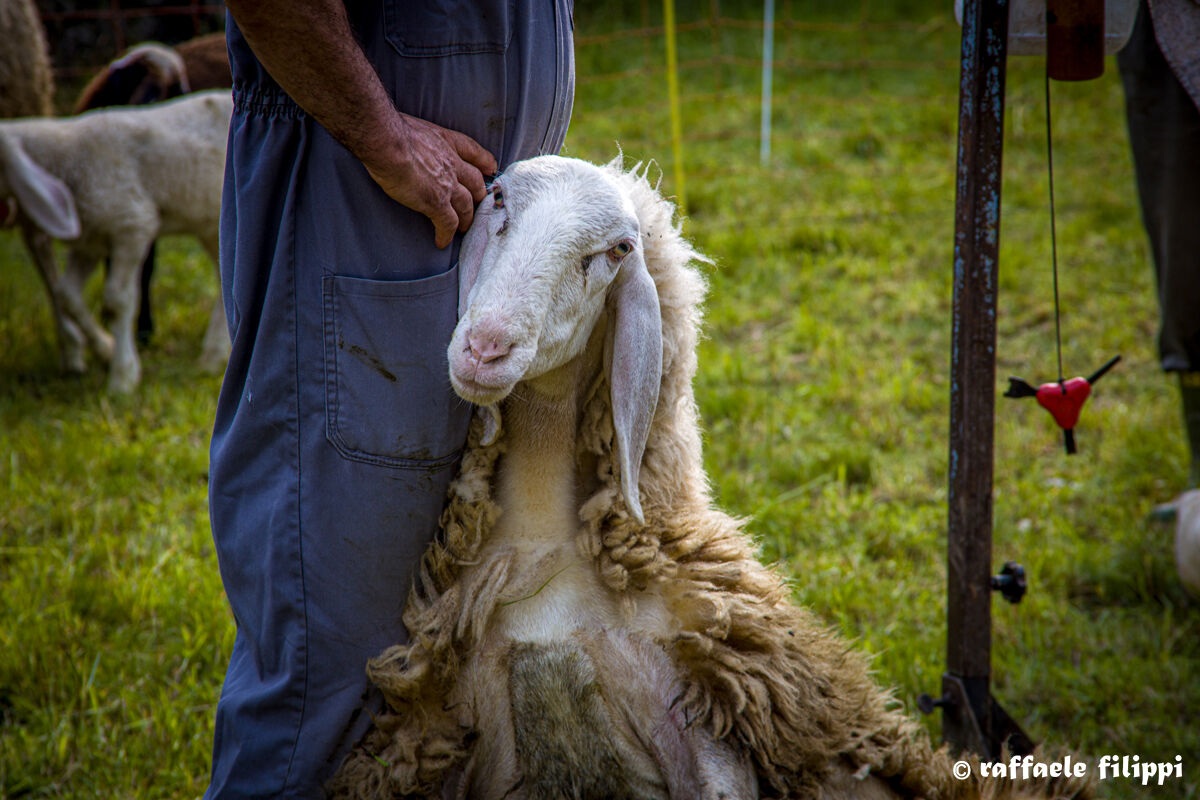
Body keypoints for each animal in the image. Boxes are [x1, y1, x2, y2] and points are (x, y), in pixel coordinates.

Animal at [0, 90, 232, 393]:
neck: (67, 157)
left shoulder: (133, 225)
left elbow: (116, 301)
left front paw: (122, 377)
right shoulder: (89, 241)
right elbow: (67, 294)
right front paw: (106, 349)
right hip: (211, 225)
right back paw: (213, 356)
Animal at [327, 155, 1094, 800]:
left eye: (616, 252)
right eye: (497, 202)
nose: (484, 347)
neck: (545, 546)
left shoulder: (704, 721)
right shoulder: (444, 734)